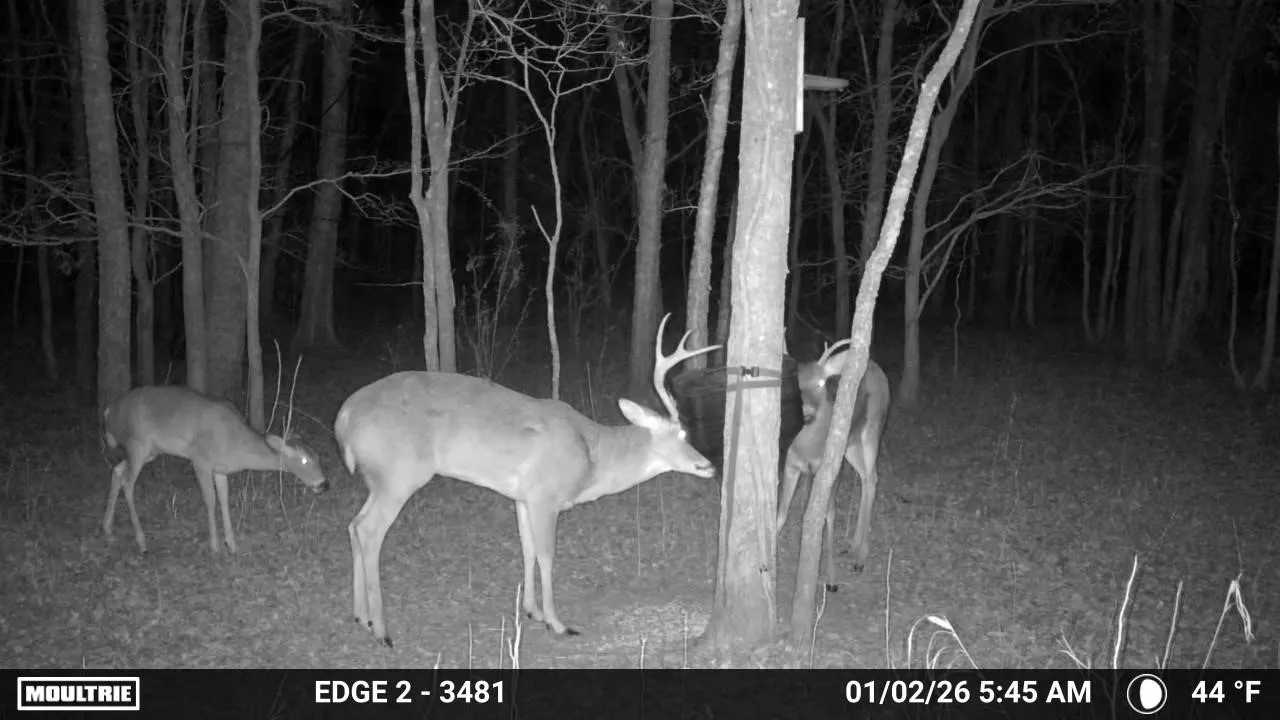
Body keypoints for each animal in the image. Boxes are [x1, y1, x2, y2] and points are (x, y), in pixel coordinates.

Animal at [102, 385, 330, 554]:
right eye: (303, 460)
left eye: (318, 457)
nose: (324, 484)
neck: (235, 444)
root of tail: (110, 410)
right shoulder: (200, 459)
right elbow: (210, 500)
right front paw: (215, 546)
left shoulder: (221, 469)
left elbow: (224, 500)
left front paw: (232, 545)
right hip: (137, 443)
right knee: (128, 483)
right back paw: (141, 542)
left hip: (150, 451)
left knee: (118, 470)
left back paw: (107, 529)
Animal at [333, 314, 720, 646]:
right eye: (683, 434)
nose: (709, 465)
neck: (591, 454)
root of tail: (344, 417)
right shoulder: (545, 495)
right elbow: (547, 555)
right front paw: (558, 623)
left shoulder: (522, 497)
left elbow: (527, 549)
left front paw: (531, 611)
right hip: (400, 474)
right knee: (369, 530)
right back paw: (382, 631)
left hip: (379, 479)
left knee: (353, 525)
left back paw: (360, 617)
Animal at [777, 340, 890, 590]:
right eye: (795, 384)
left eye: (820, 382)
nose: (807, 412)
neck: (808, 446)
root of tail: (878, 369)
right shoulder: (791, 464)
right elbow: (782, 511)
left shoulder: (828, 468)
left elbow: (828, 514)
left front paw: (831, 577)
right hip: (849, 446)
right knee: (866, 477)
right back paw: (854, 546)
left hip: (872, 429)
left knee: (873, 477)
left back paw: (860, 557)